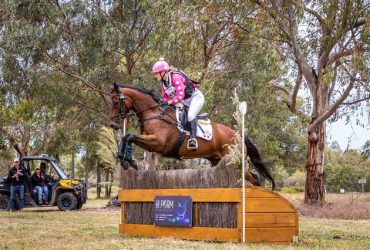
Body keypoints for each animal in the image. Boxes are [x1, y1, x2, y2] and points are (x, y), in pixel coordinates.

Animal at [109, 83, 274, 189]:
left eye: (116, 101)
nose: (112, 124)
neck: (154, 114)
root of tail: (240, 136)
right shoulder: (151, 145)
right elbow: (126, 137)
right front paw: (125, 159)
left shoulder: (158, 143)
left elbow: (129, 136)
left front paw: (129, 161)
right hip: (217, 161)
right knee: (253, 177)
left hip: (233, 161)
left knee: (254, 178)